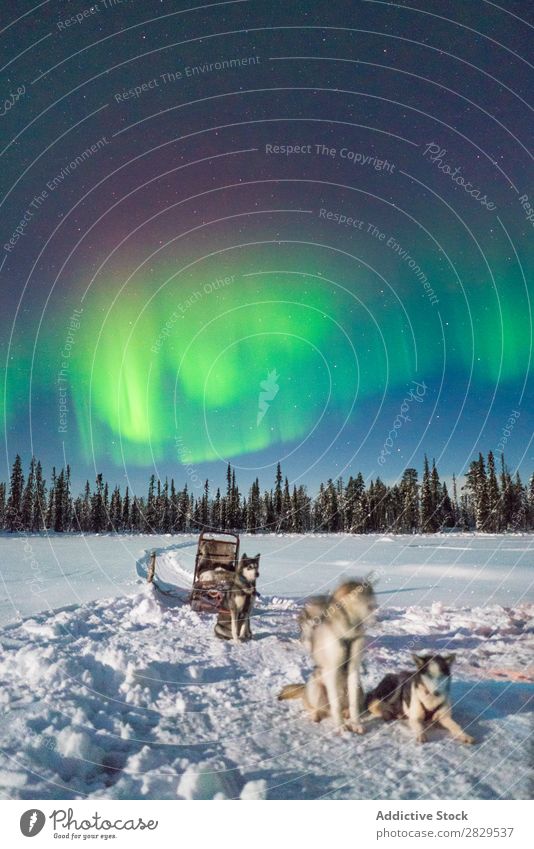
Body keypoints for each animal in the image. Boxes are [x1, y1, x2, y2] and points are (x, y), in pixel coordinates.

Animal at [278, 580, 378, 732]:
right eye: (362, 596)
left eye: (371, 595)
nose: (375, 607)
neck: (347, 632)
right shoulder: (332, 670)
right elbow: (335, 705)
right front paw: (341, 726)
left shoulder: (354, 670)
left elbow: (354, 705)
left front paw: (356, 724)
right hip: (316, 689)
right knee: (318, 707)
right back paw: (316, 715)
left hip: (359, 689)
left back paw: (346, 712)